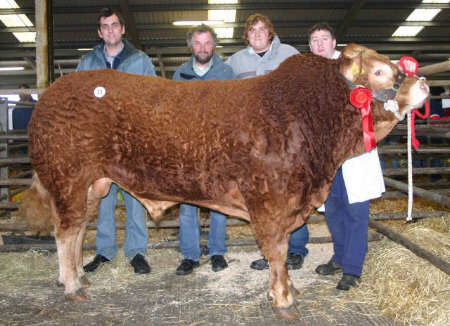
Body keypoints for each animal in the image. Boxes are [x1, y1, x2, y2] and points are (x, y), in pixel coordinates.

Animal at [22, 43, 428, 318]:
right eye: (380, 72)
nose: (422, 80)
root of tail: (51, 94)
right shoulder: (271, 201)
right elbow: (277, 251)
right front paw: (283, 299)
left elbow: (282, 254)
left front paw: (287, 290)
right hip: (69, 179)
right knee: (65, 233)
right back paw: (72, 286)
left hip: (93, 186)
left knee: (76, 232)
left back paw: (79, 277)